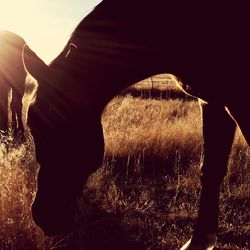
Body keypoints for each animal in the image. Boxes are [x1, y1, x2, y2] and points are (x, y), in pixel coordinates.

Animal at [22, 0, 249, 249]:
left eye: (68, 125)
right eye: (31, 122)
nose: (44, 216)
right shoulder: (212, 102)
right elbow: (210, 170)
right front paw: (199, 240)